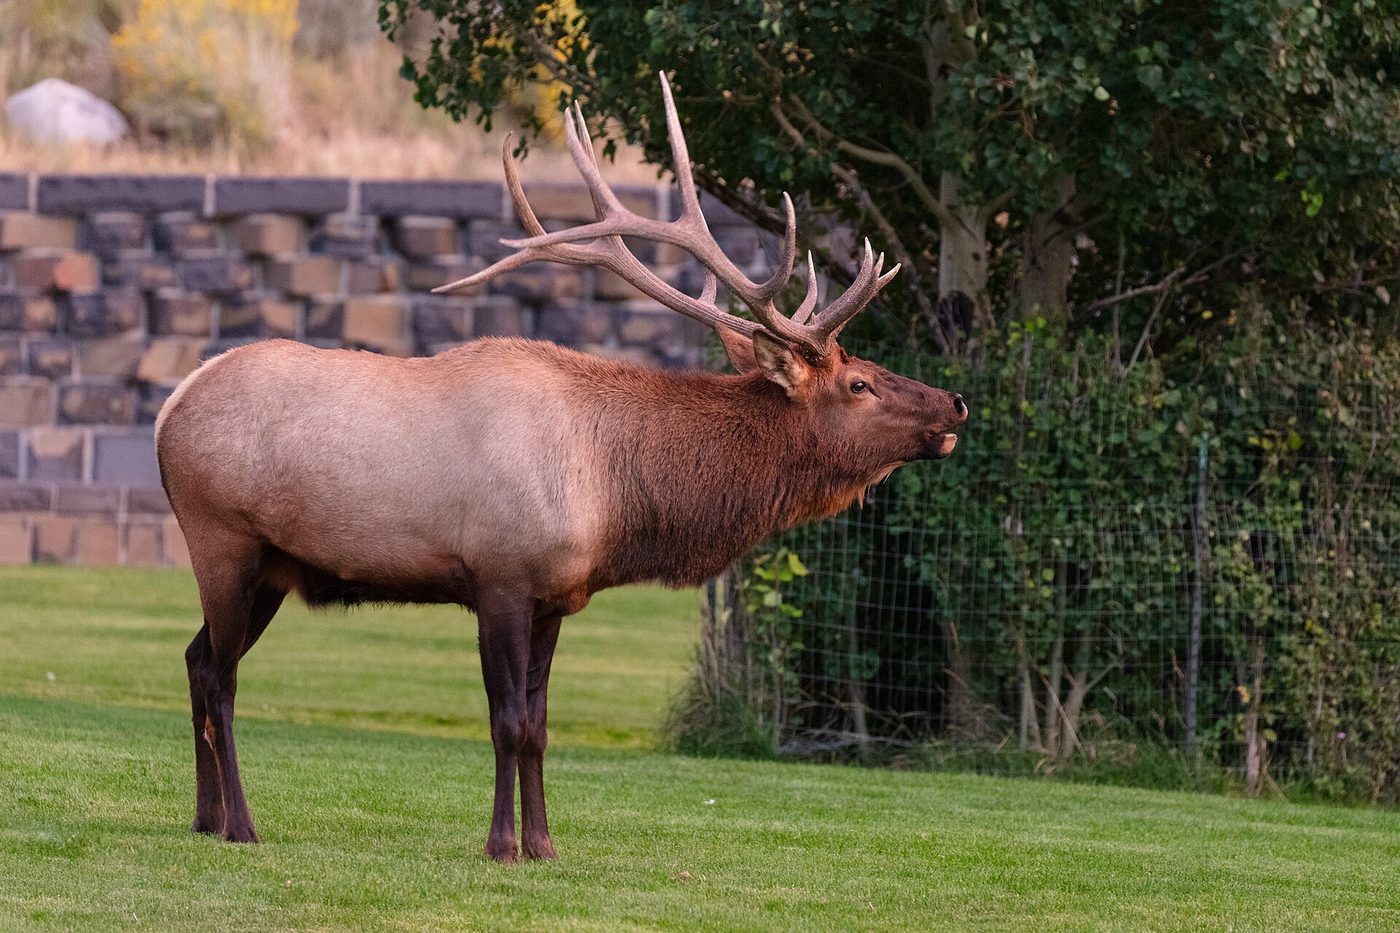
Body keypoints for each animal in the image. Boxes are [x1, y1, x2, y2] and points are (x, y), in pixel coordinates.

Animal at [155, 74, 968, 864]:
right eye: (858, 383)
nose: (955, 402)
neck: (615, 498)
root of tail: (171, 406)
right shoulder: (499, 577)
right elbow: (507, 720)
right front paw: (500, 846)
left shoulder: (555, 597)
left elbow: (541, 726)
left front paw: (544, 844)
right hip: (223, 540)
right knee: (222, 678)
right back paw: (241, 824)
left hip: (272, 568)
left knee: (193, 660)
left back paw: (203, 817)